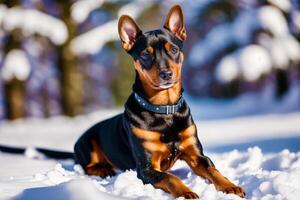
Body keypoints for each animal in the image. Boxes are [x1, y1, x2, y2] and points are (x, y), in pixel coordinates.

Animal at [74, 4, 245, 198]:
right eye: (145, 54)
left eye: (174, 49)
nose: (166, 74)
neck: (165, 108)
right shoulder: (146, 168)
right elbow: (170, 177)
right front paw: (186, 192)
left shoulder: (197, 155)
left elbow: (213, 170)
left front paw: (230, 186)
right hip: (88, 144)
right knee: (88, 166)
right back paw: (103, 169)